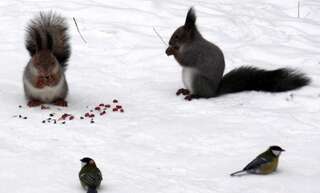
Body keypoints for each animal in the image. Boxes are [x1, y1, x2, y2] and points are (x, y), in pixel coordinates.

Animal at [166, 7, 312, 101]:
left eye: (177, 36)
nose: (169, 42)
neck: (190, 44)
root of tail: (214, 92)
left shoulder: (196, 53)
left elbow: (185, 60)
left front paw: (171, 51)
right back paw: (184, 90)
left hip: (199, 80)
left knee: (203, 95)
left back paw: (194, 96)